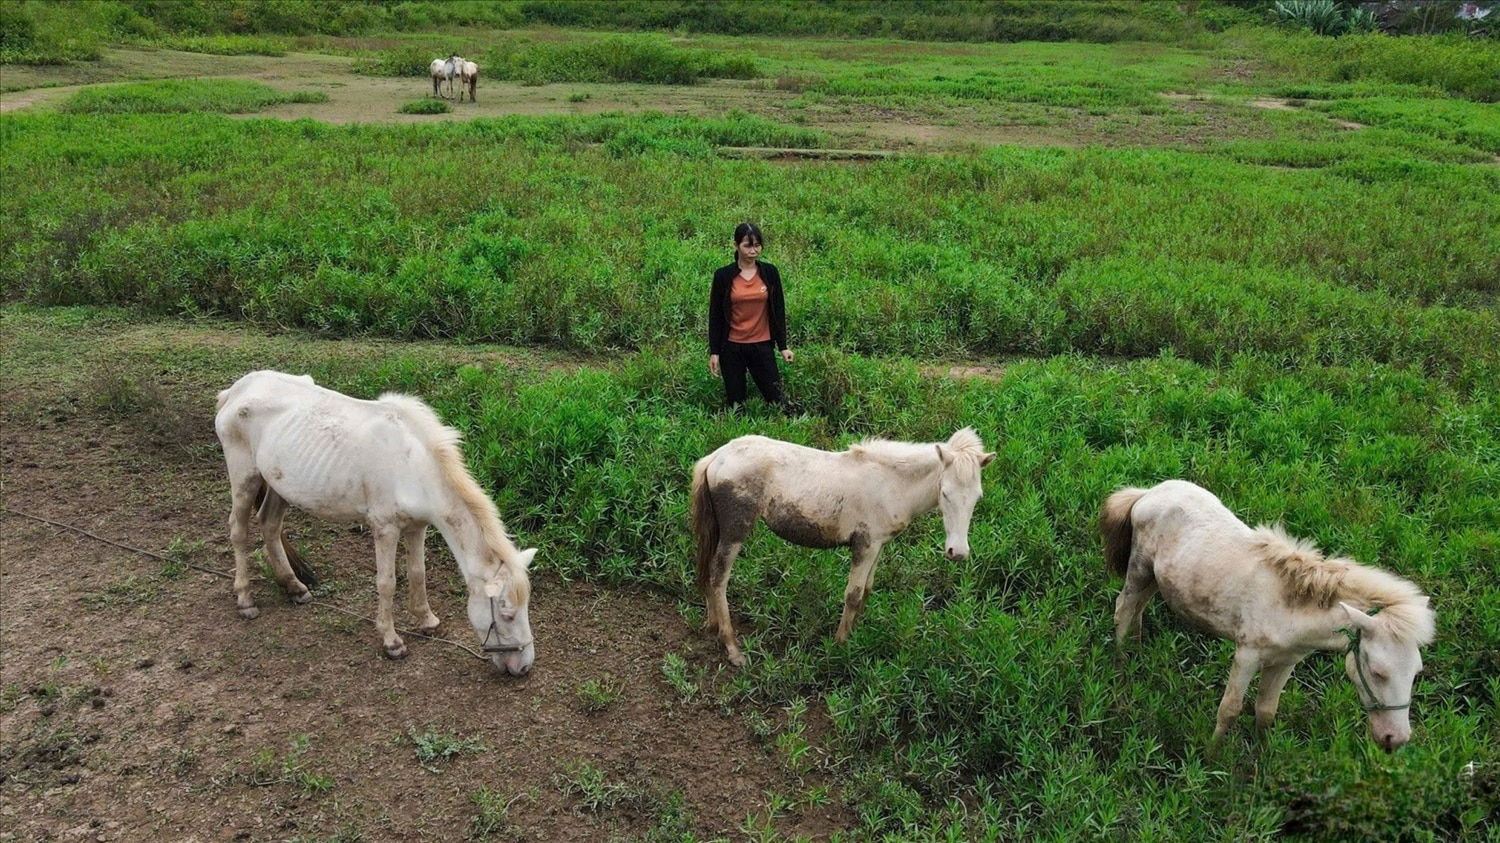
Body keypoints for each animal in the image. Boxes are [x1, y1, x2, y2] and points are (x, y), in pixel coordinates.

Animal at [211, 370, 540, 672]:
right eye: (507, 614)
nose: (524, 667)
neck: (412, 465)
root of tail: (237, 389)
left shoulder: (417, 526)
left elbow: (417, 573)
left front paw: (427, 621)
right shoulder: (385, 529)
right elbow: (387, 583)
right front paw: (392, 642)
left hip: (280, 485)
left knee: (270, 525)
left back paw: (294, 587)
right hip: (245, 477)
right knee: (239, 531)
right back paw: (245, 600)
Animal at [690, 426, 996, 663]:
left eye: (978, 496)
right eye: (945, 493)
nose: (958, 553)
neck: (892, 484)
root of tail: (716, 457)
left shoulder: (878, 545)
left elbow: (867, 590)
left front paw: (855, 636)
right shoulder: (865, 545)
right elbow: (853, 594)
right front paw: (840, 645)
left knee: (709, 572)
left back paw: (712, 626)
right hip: (735, 530)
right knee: (719, 576)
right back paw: (732, 647)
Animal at [1110, 480, 1434, 747]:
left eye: (1416, 673)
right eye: (1378, 672)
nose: (1395, 739)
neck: (1289, 607)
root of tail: (1149, 493)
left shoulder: (1285, 662)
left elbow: (1266, 711)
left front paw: (1262, 758)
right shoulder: (1247, 655)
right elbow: (1229, 709)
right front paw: (1211, 757)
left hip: (1157, 578)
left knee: (1138, 609)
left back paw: (1137, 652)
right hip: (1139, 569)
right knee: (1123, 609)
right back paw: (1122, 671)